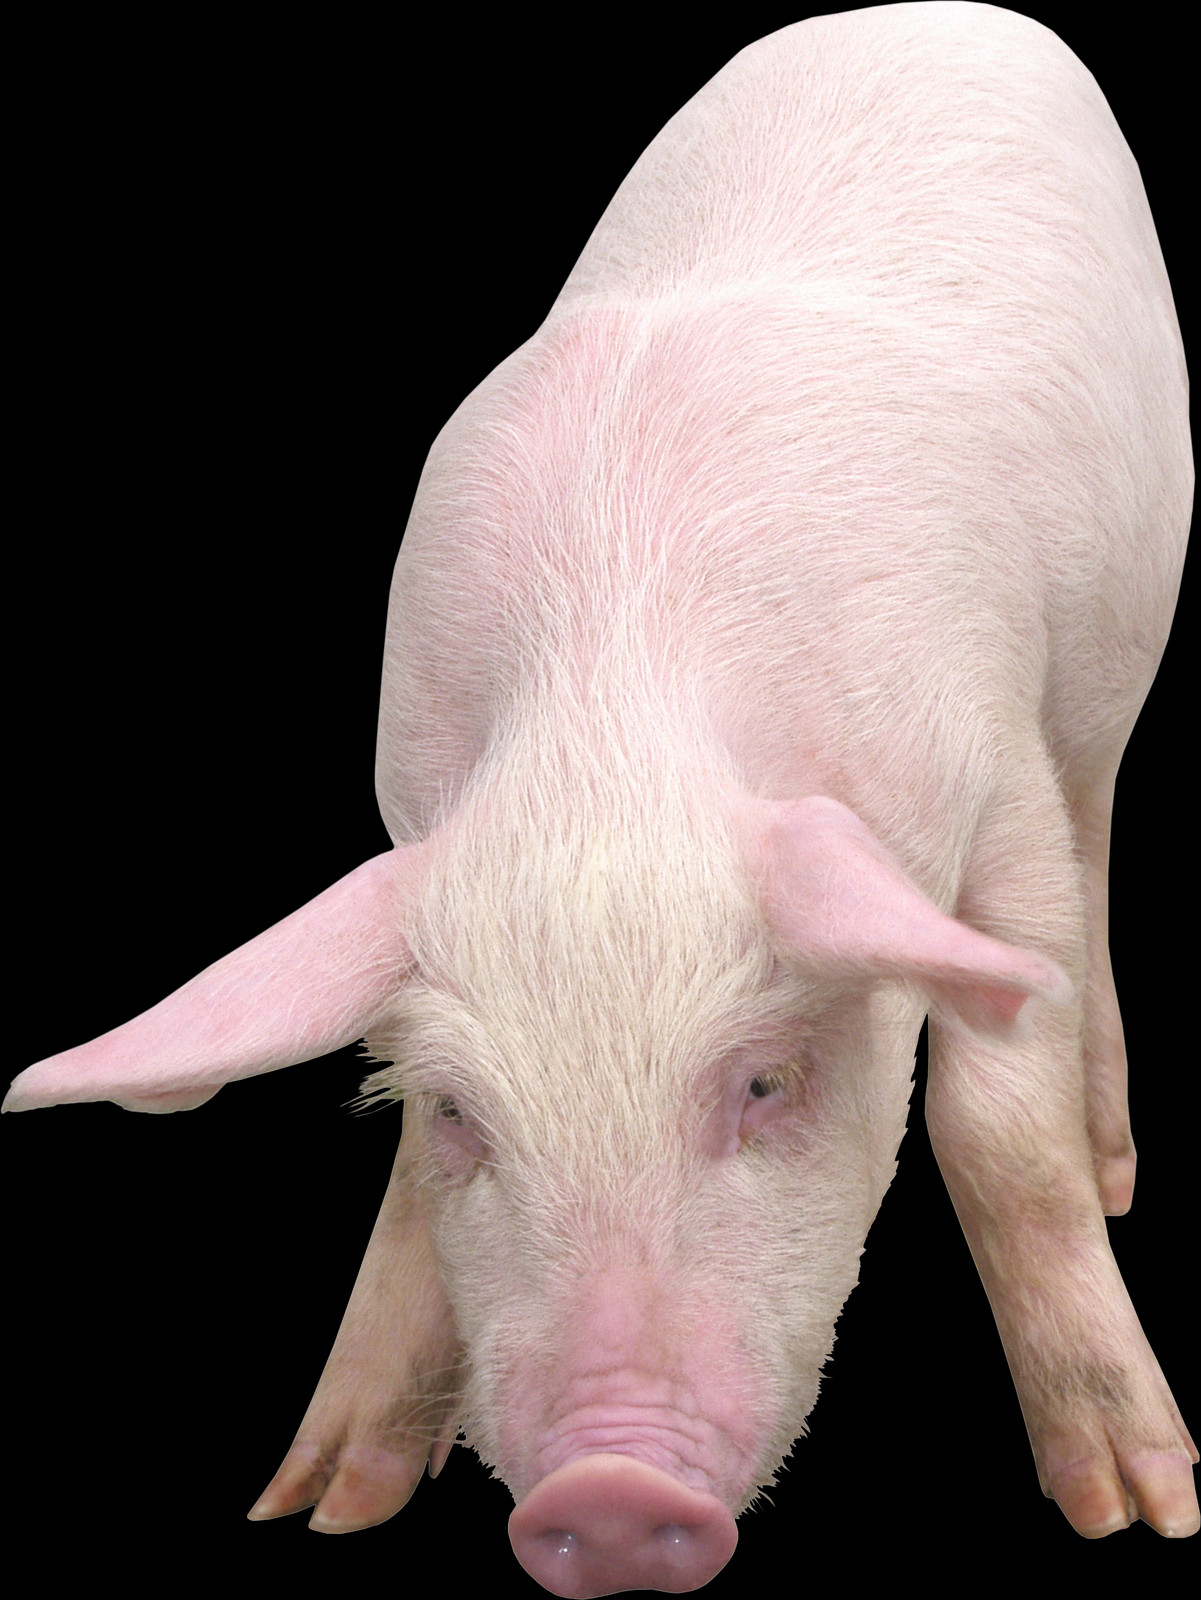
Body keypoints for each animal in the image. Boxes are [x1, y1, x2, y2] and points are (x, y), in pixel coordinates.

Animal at [5, 2, 1195, 1592]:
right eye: (461, 1111)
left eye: (763, 1082)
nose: (608, 1497)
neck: (609, 735)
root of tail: (934, 6)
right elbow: (400, 1196)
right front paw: (323, 1501)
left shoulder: (989, 760)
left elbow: (999, 1132)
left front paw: (1136, 1508)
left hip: (1119, 643)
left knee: (1098, 837)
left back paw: (1116, 1154)